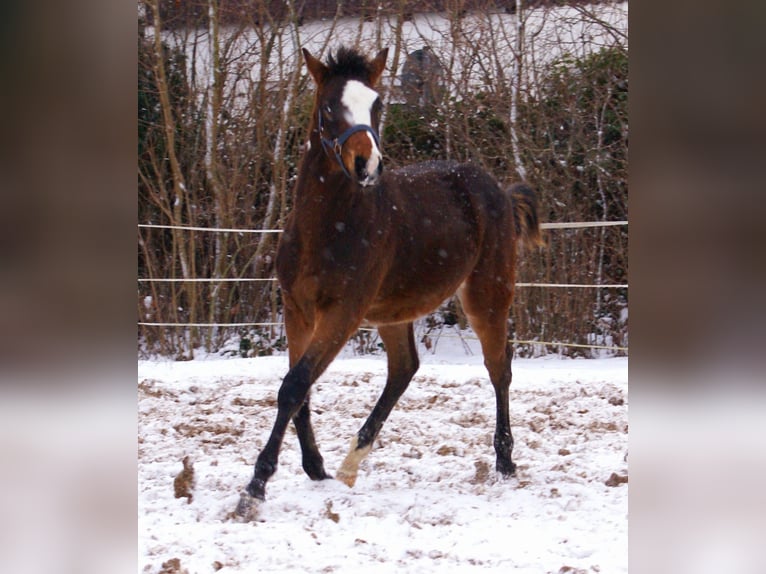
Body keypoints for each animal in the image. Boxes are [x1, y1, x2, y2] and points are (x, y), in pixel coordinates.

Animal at [236, 46, 543, 516]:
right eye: (329, 107)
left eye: (377, 104)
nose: (367, 164)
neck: (326, 228)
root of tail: (501, 192)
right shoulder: (296, 309)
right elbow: (300, 388)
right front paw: (315, 468)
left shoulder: (343, 313)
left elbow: (295, 385)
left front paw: (256, 486)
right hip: (394, 312)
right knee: (404, 368)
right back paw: (349, 465)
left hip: (487, 294)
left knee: (499, 367)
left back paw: (505, 462)